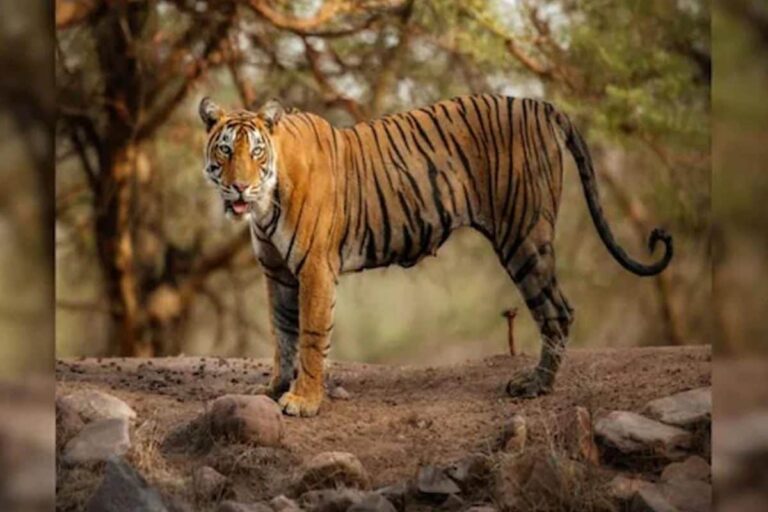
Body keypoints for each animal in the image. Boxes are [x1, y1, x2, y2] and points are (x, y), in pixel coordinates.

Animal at [198, 94, 672, 417]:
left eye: (255, 152)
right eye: (225, 150)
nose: (239, 188)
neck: (265, 203)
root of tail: (540, 104)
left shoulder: (314, 268)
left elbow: (311, 337)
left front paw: (303, 401)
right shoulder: (277, 272)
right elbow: (283, 334)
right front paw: (275, 389)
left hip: (524, 236)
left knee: (557, 310)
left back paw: (535, 385)